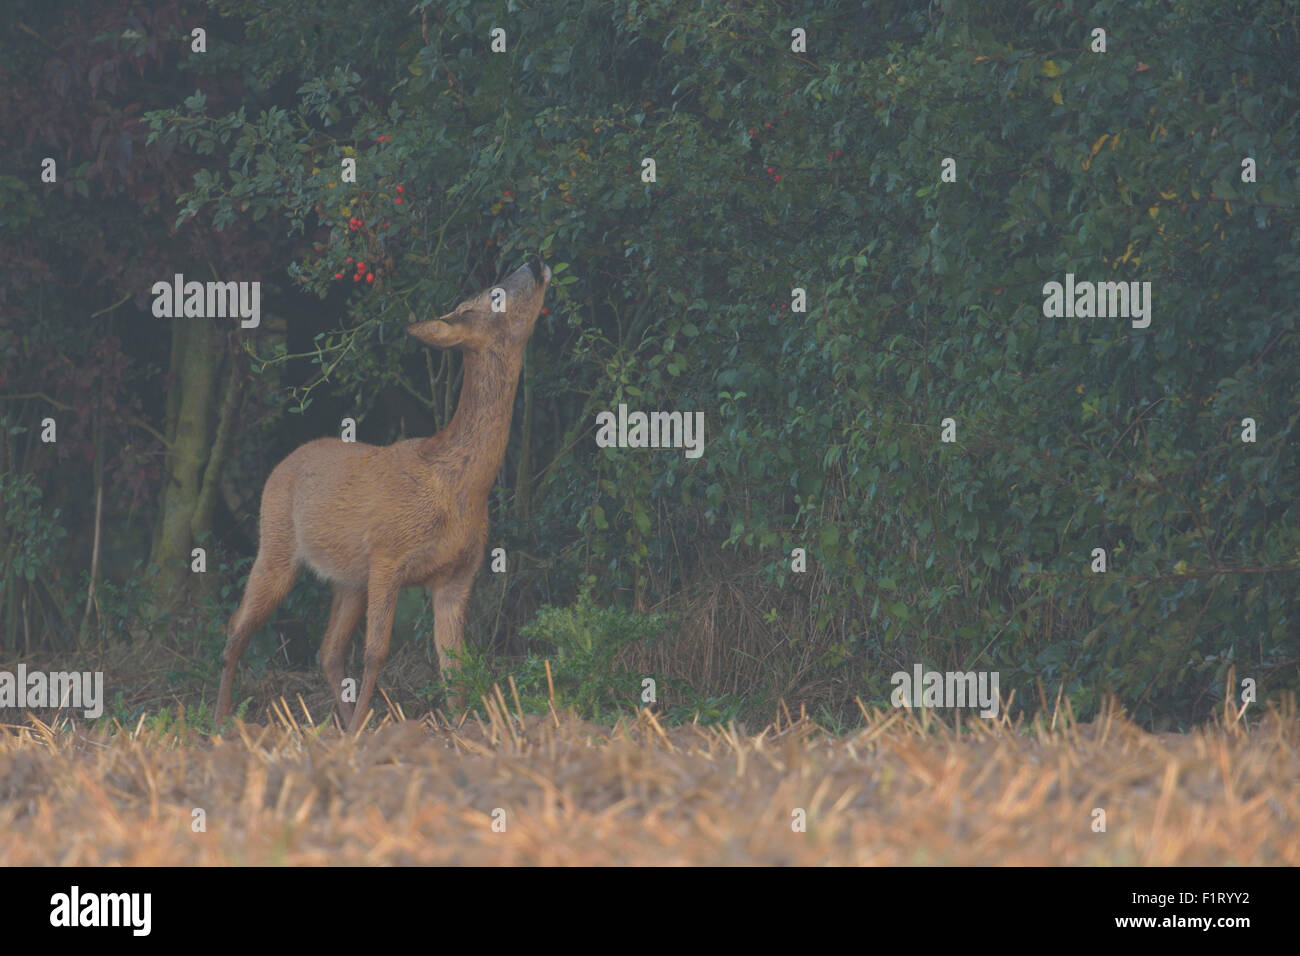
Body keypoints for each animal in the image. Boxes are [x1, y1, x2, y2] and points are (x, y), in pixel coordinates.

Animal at [215, 257, 551, 728]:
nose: (536, 263)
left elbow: (455, 664)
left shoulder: (458, 575)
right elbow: (376, 652)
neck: (458, 486)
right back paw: (219, 722)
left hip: (348, 580)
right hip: (277, 545)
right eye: (494, 294)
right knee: (236, 627)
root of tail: (283, 463)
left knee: (328, 649)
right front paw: (365, 730)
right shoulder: (388, 555)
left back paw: (340, 723)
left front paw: (460, 728)